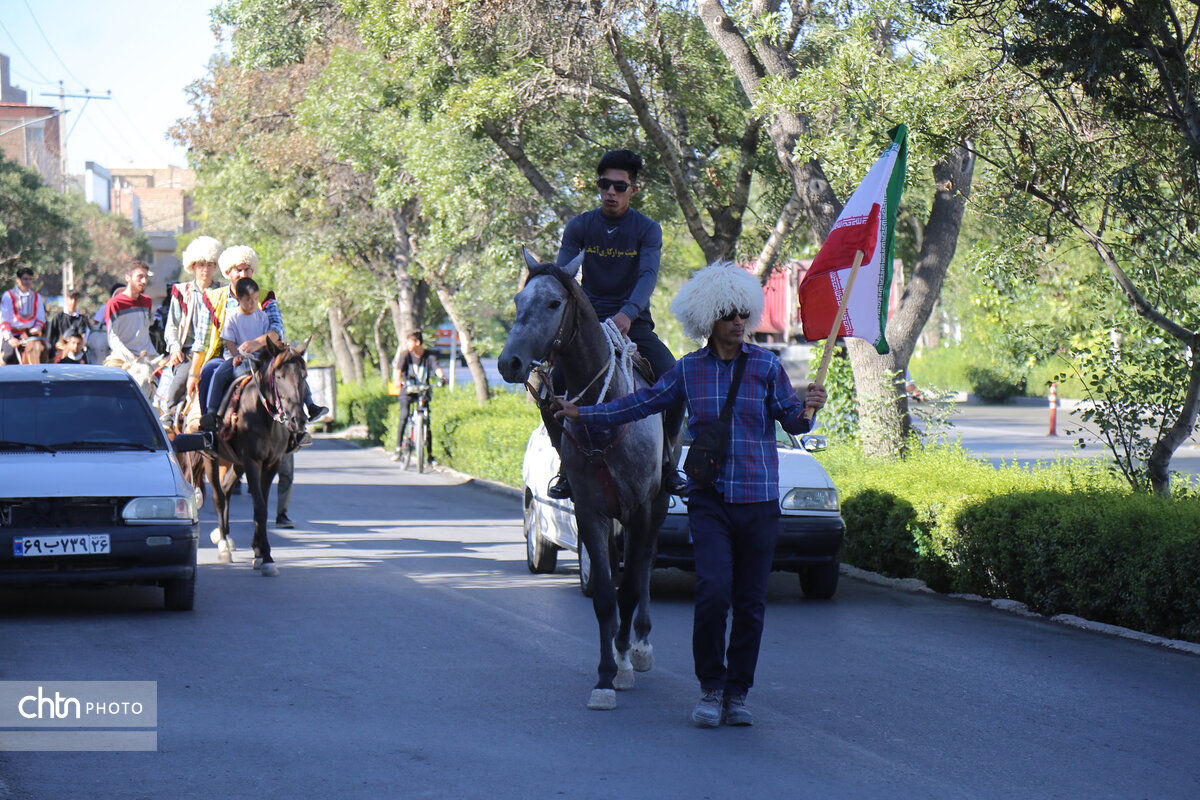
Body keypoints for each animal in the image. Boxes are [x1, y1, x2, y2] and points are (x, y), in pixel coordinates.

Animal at [201, 335, 307, 575]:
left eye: (304, 376)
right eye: (279, 376)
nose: (297, 420)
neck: (265, 418)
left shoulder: (271, 463)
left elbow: (263, 507)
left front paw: (259, 552)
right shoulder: (252, 462)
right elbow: (259, 507)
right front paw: (266, 556)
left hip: (237, 462)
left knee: (227, 488)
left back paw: (227, 537)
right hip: (210, 458)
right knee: (218, 496)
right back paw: (223, 544)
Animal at [494, 251, 672, 714]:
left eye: (554, 303)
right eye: (518, 299)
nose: (508, 363)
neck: (603, 412)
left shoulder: (640, 508)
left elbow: (630, 587)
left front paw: (625, 661)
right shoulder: (590, 511)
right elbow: (607, 597)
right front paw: (606, 675)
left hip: (657, 505)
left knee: (644, 567)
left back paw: (641, 645)